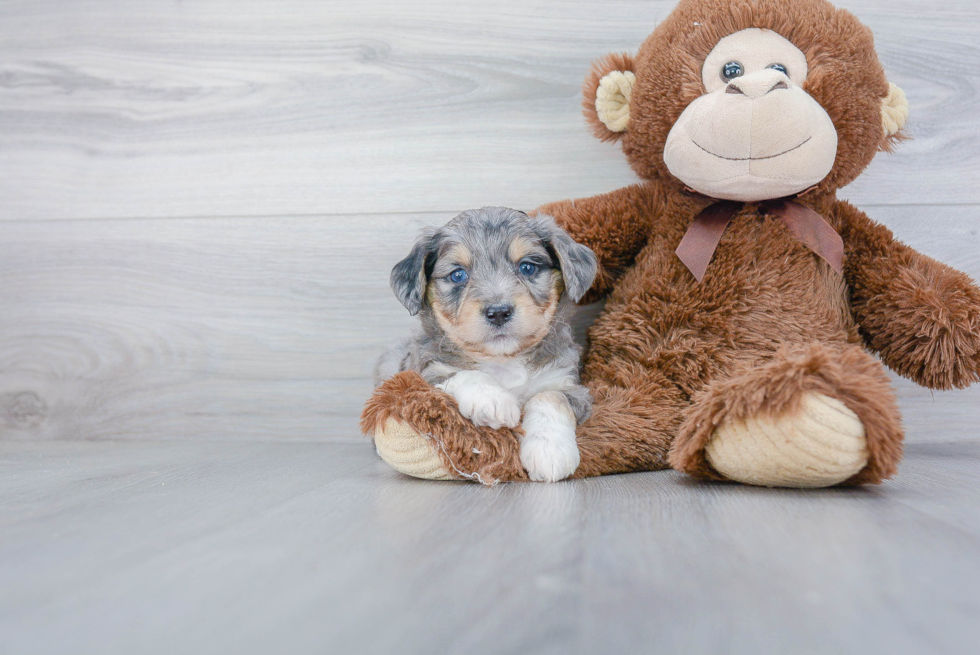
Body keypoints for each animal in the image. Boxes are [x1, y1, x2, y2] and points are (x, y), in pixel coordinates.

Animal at [376, 206, 596, 482]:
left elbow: (550, 397)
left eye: (527, 267)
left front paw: (549, 452)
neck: (503, 360)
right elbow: (465, 374)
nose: (499, 312)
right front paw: (494, 401)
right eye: (458, 275)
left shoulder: (568, 383)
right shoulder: (425, 375)